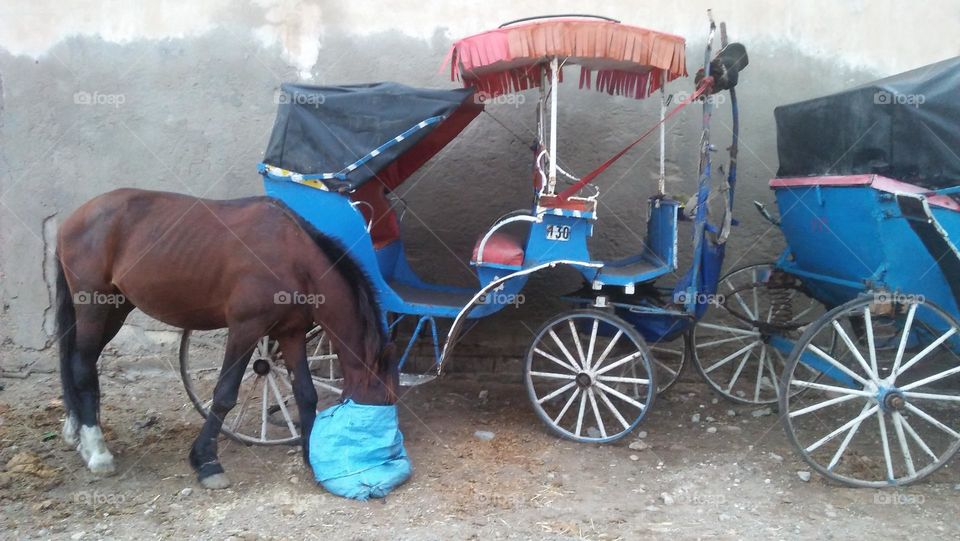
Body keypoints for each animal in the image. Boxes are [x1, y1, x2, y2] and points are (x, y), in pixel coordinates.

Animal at [56, 190, 396, 490]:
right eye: (380, 400)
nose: (387, 455)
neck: (291, 254)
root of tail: (73, 218)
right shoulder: (246, 329)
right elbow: (225, 395)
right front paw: (206, 462)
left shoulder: (291, 333)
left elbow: (305, 393)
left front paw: (311, 458)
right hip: (94, 306)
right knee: (82, 367)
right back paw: (97, 451)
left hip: (116, 308)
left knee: (79, 364)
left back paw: (77, 433)